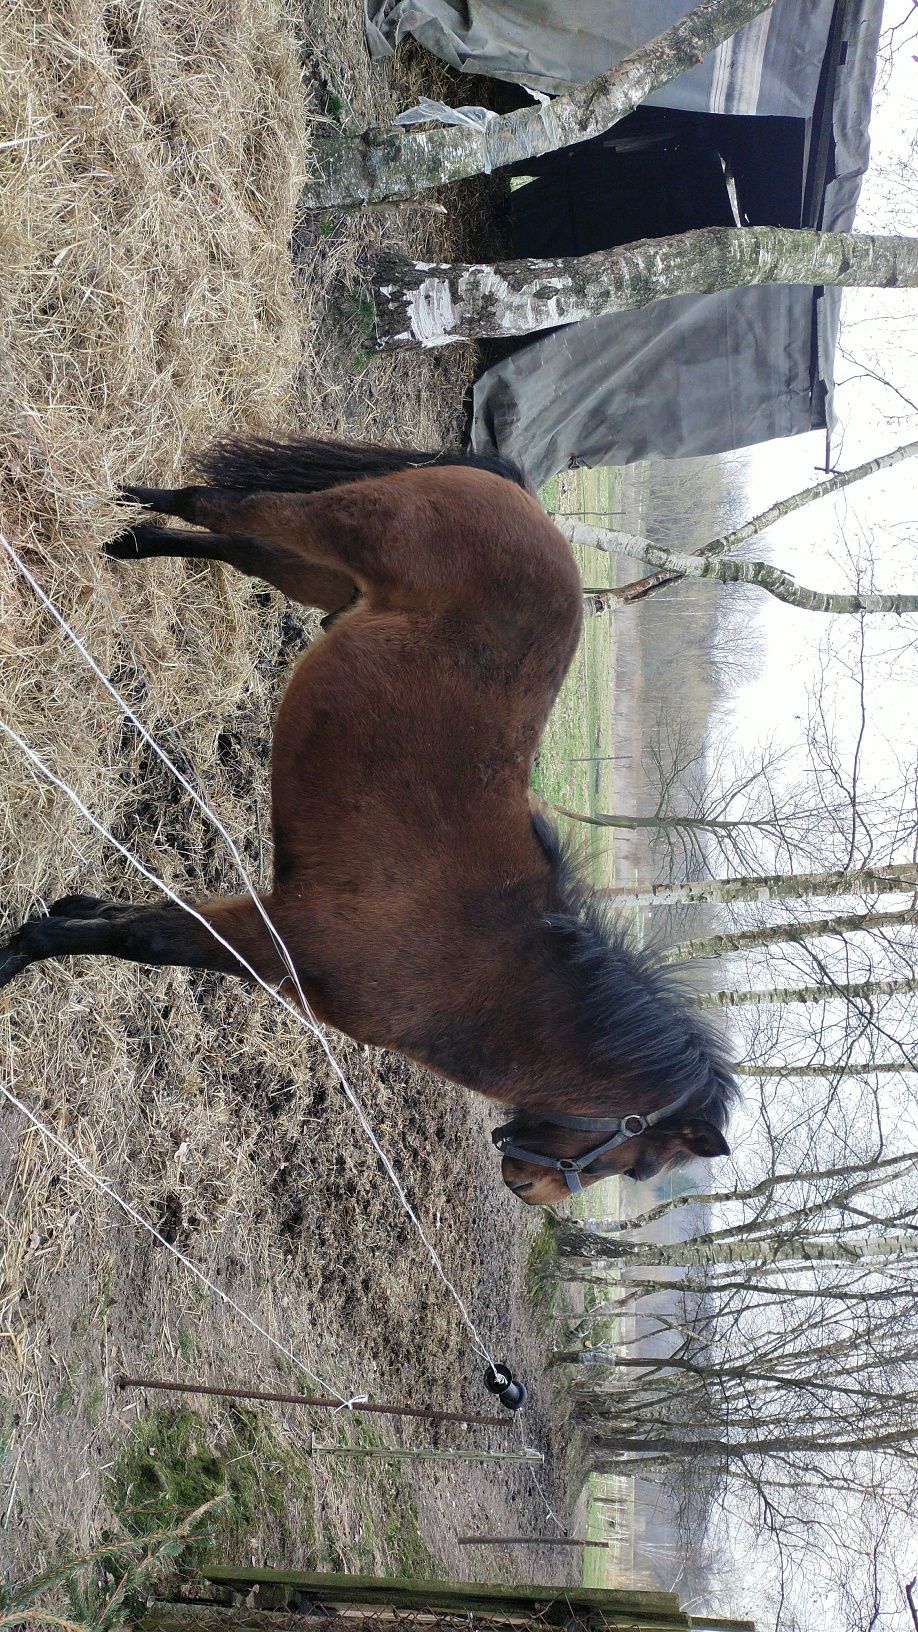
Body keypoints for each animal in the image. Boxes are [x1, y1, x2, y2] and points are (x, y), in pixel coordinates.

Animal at [0, 440, 728, 1207]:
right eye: (638, 1164)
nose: (531, 1190)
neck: (486, 961)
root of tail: (528, 500)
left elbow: (133, 918)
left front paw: (64, 912)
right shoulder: (274, 938)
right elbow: (142, 939)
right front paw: (22, 950)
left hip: (323, 578)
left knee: (242, 548)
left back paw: (133, 540)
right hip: (331, 527)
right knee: (219, 505)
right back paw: (133, 503)